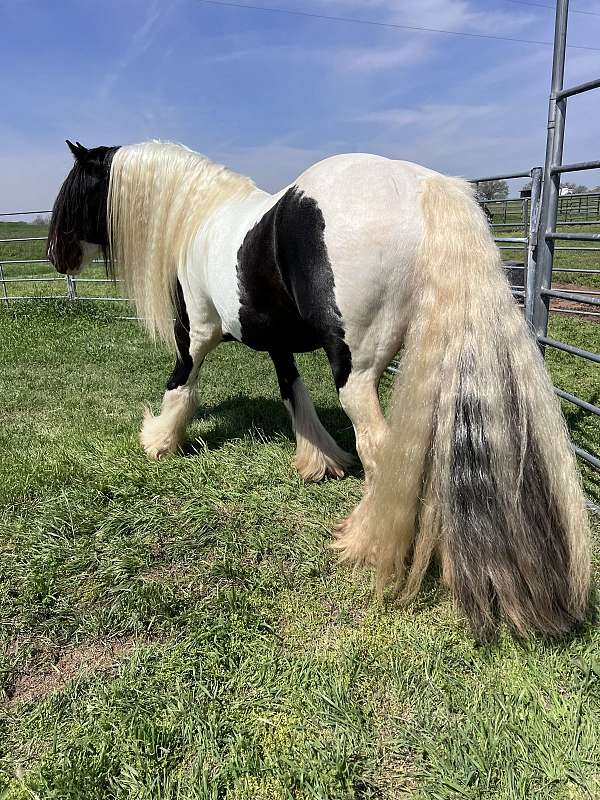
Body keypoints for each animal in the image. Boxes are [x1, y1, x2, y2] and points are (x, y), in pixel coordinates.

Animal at [48, 138, 592, 636]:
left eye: (74, 188)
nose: (56, 253)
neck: (200, 220)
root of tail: (420, 184)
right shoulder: (275, 340)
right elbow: (292, 390)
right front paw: (319, 461)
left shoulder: (197, 332)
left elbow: (180, 383)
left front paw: (160, 440)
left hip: (357, 371)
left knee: (381, 449)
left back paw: (365, 541)